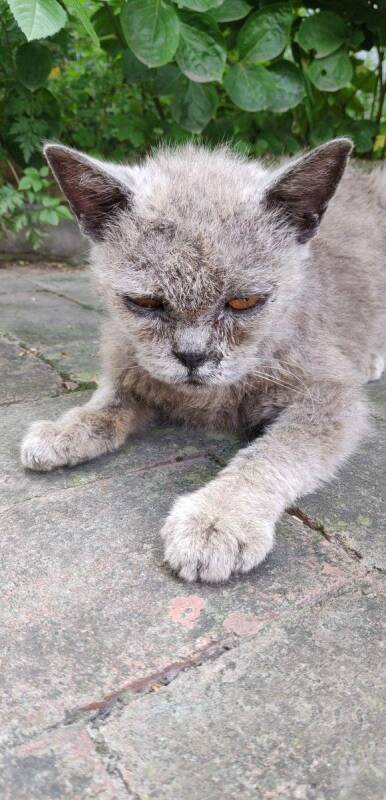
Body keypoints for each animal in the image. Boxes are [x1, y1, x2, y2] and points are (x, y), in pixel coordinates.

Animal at [20, 141, 386, 580]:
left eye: (244, 302)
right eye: (145, 303)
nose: (192, 356)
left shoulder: (329, 394)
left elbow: (276, 451)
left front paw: (220, 517)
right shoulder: (130, 359)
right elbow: (109, 401)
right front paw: (65, 430)